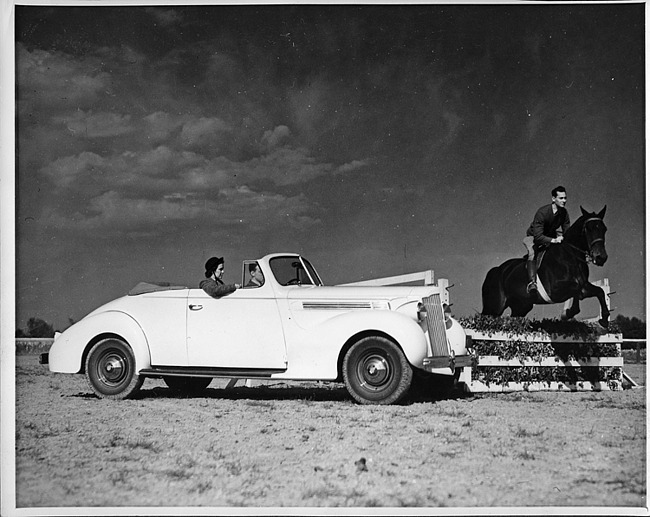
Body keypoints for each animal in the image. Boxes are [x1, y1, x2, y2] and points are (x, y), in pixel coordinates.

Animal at [480, 206, 608, 326]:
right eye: (588, 229)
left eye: (604, 229)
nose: (601, 257)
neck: (571, 256)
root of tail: (496, 270)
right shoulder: (555, 290)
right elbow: (577, 290)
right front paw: (566, 313)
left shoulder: (584, 284)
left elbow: (600, 291)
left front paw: (604, 320)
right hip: (495, 306)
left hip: (522, 306)